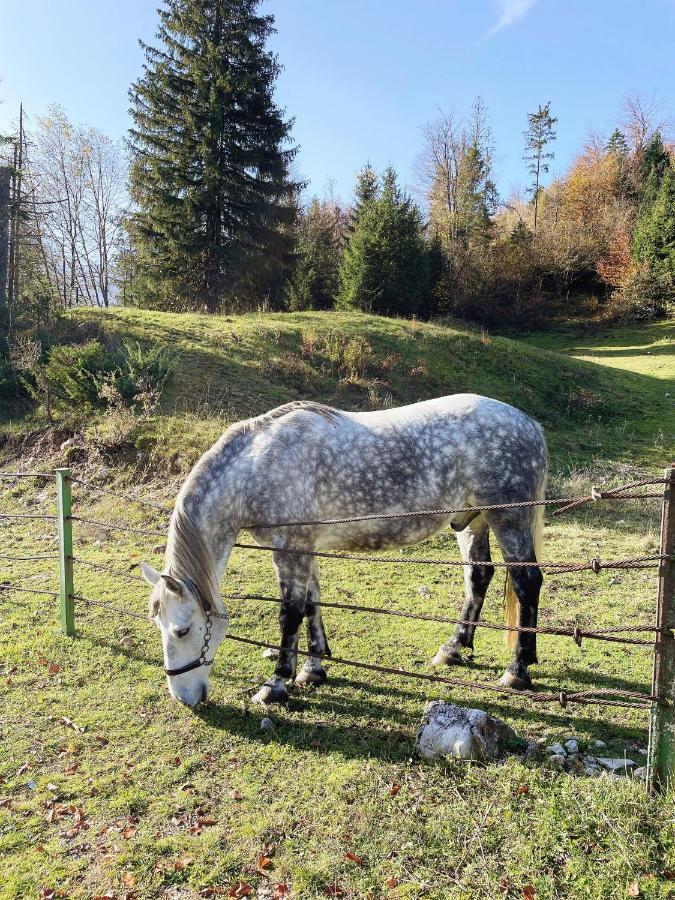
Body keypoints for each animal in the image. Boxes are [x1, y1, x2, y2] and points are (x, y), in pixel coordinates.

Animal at [143, 398, 548, 708]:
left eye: (181, 630)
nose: (183, 697)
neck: (258, 466)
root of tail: (530, 425)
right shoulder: (305, 548)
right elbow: (311, 604)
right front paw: (313, 669)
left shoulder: (290, 549)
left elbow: (290, 614)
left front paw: (276, 685)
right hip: (472, 522)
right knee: (479, 576)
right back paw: (453, 648)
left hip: (508, 519)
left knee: (526, 581)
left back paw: (517, 670)